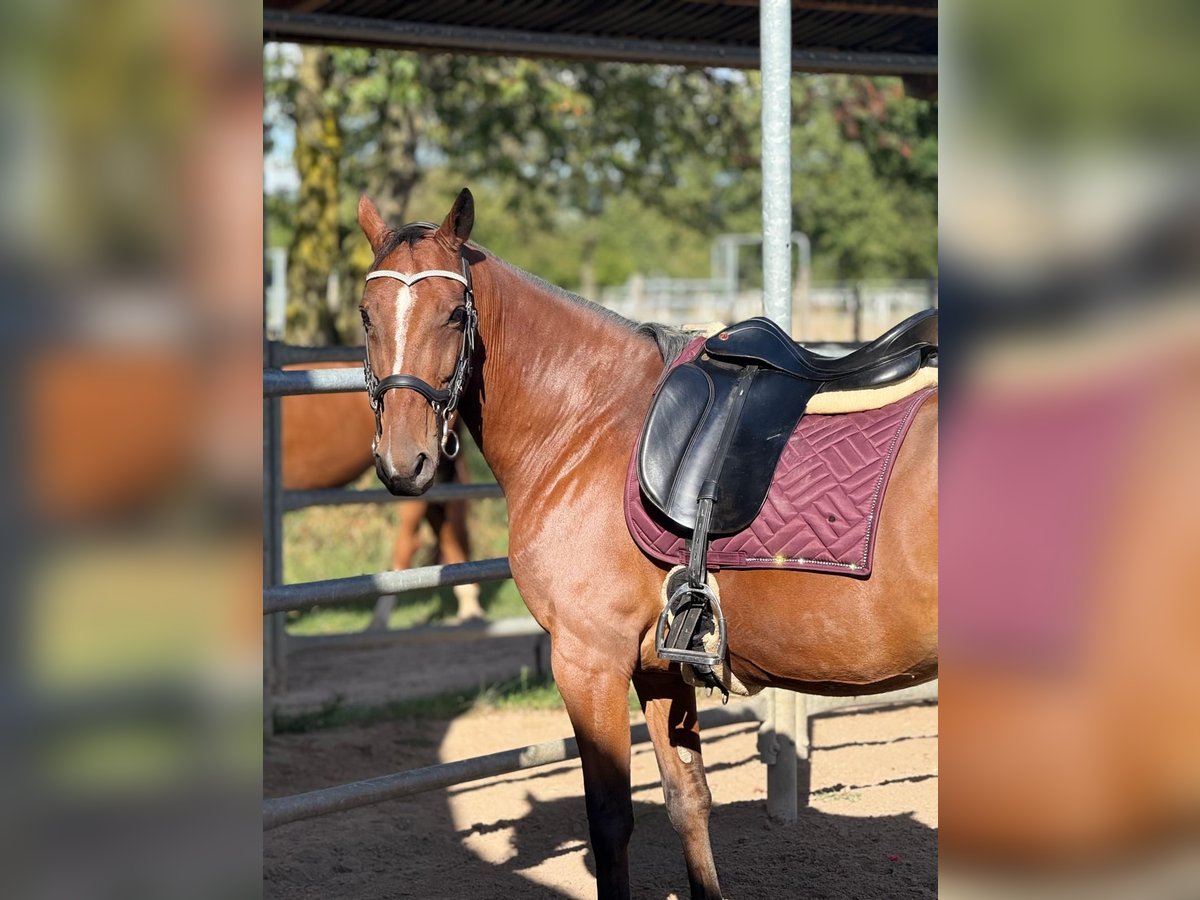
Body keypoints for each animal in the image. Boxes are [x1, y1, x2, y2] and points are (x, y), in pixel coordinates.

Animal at [355, 188, 938, 900]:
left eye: (453, 314)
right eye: (366, 315)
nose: (402, 461)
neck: (591, 422)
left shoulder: (589, 662)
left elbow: (610, 821)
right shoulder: (660, 665)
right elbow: (688, 799)